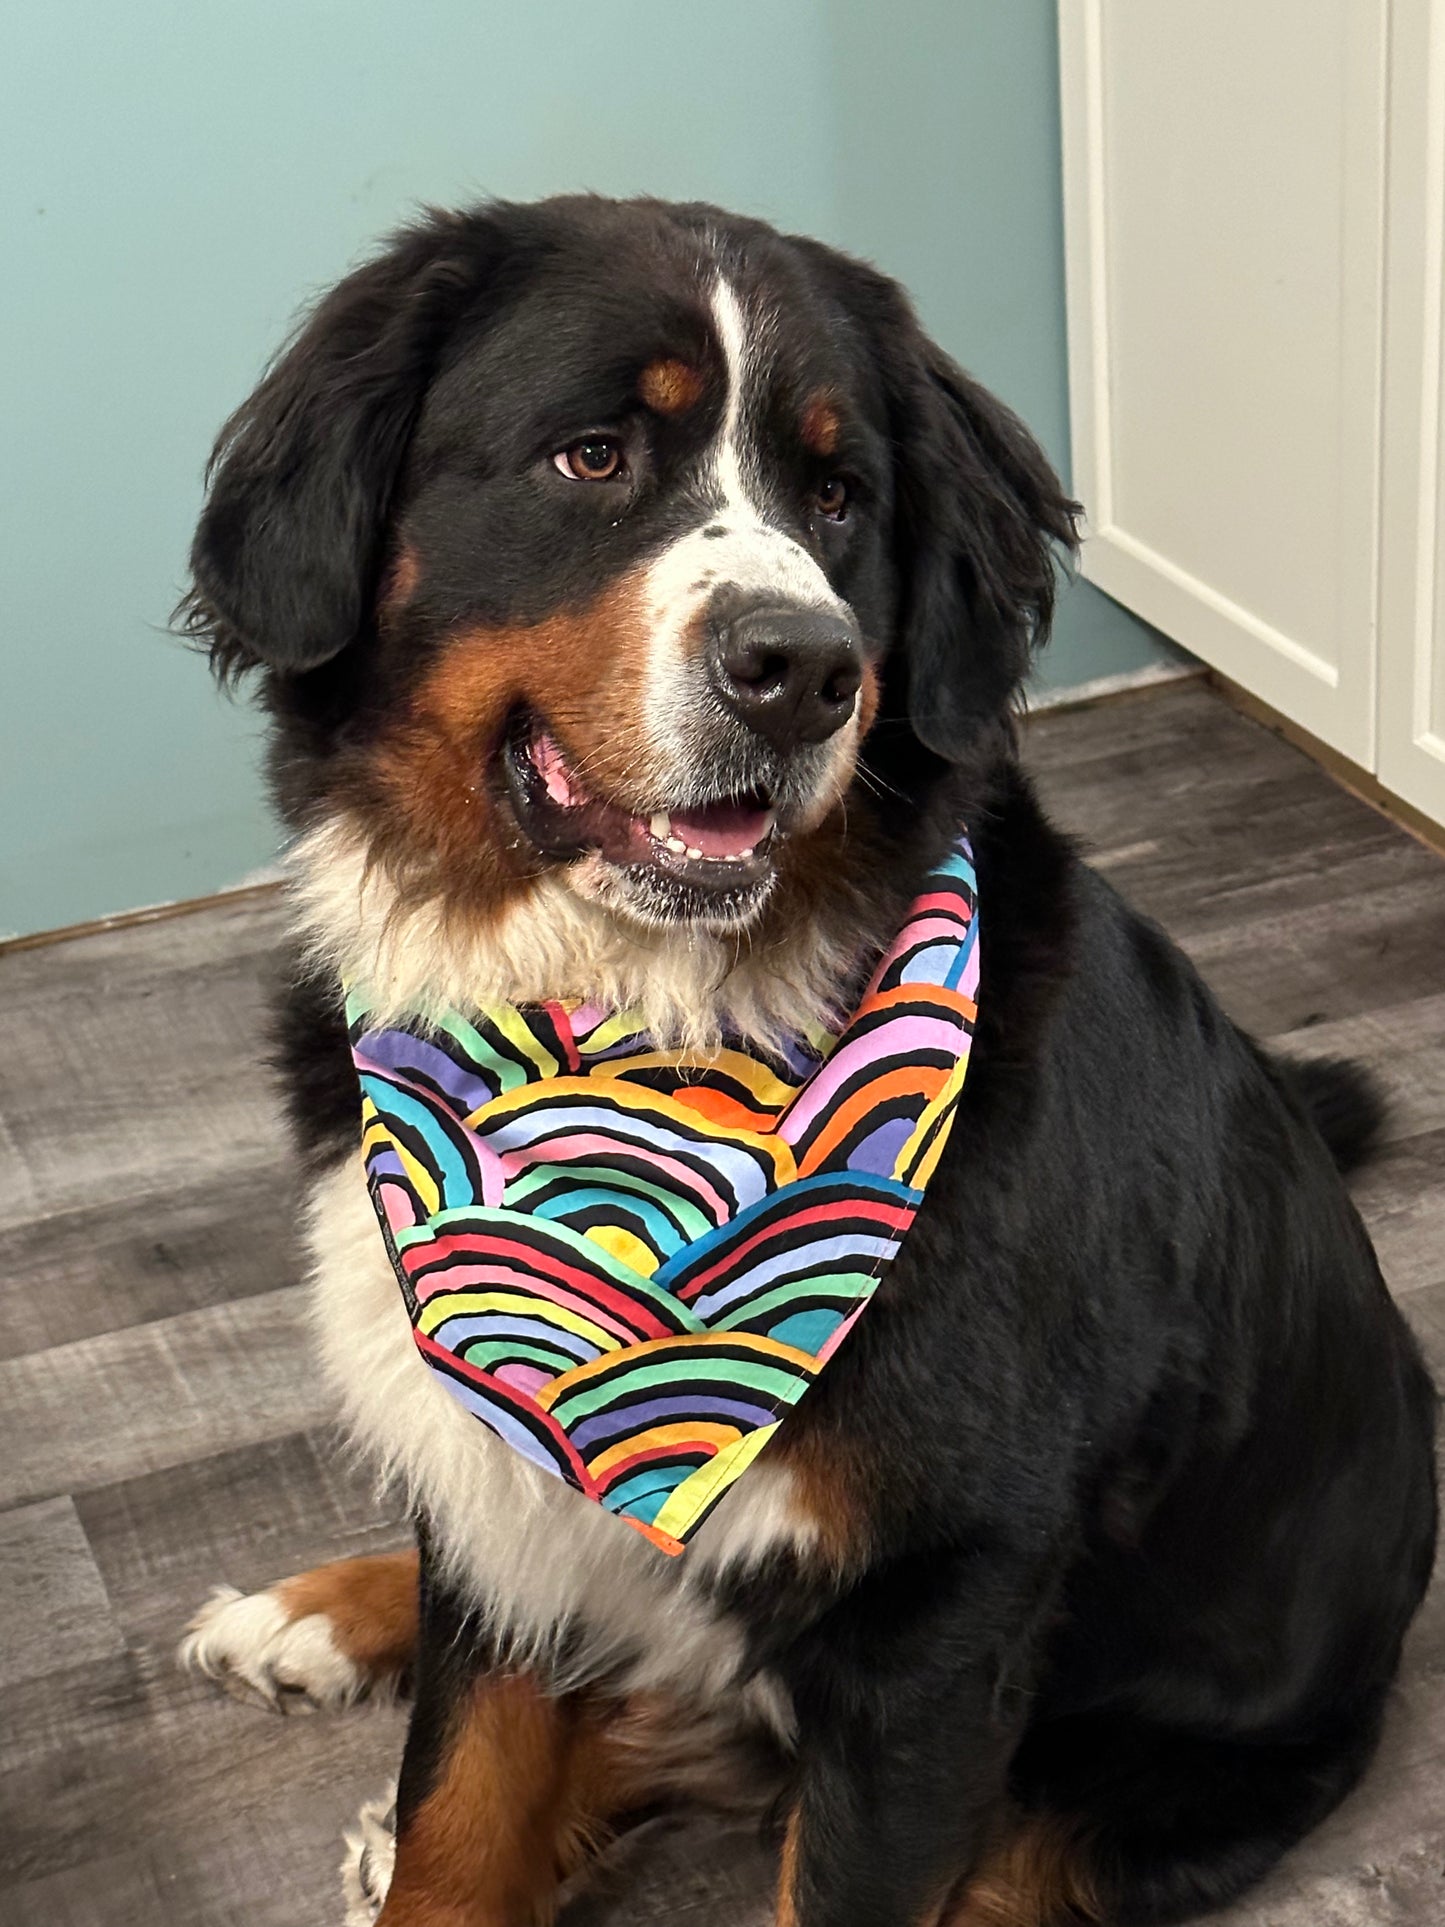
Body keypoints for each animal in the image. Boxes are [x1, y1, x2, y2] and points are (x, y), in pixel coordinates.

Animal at [178, 199, 1441, 1927]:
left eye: (841, 496)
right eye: (591, 455)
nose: (802, 669)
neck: (622, 1030)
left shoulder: (933, 1617)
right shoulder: (498, 1454)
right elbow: (461, 1797)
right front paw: (419, 1815)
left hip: (1132, 1801)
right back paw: (313, 1615)